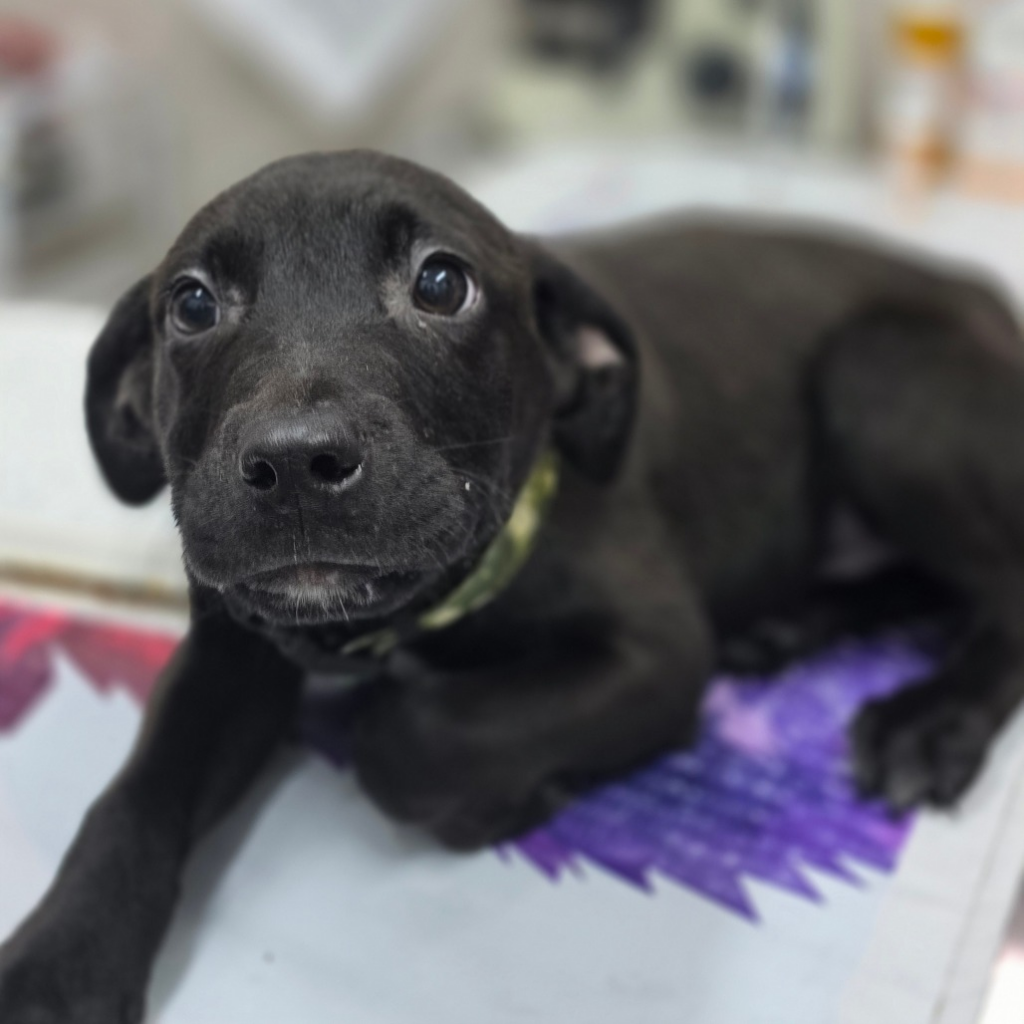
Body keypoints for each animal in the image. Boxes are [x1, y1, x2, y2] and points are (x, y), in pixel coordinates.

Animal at [2, 149, 1023, 1022]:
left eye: (441, 283)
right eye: (192, 304)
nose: (293, 464)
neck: (402, 619)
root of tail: (980, 294)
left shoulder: (656, 652)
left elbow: (411, 734)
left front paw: (509, 797)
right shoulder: (233, 652)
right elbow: (135, 793)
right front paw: (57, 966)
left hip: (877, 378)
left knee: (998, 582)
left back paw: (931, 718)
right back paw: (793, 627)